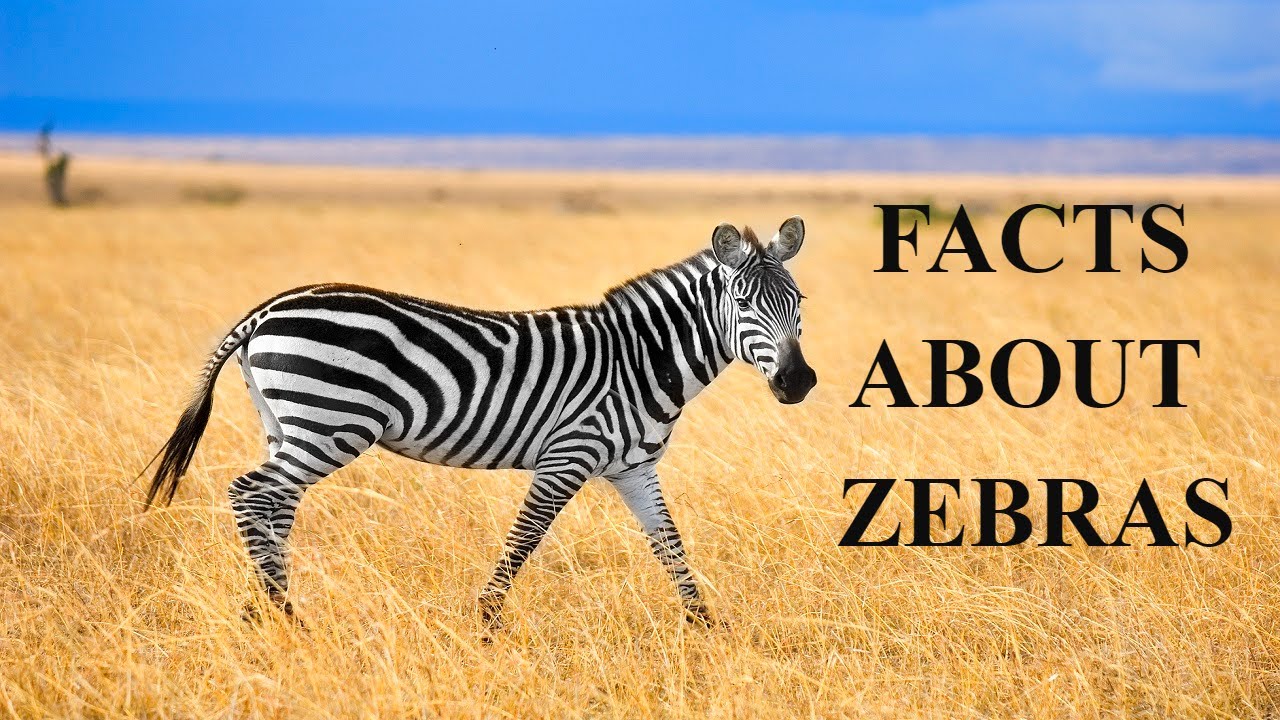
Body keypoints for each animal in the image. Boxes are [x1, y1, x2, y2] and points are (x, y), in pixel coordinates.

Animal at [143, 217, 816, 629]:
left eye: (798, 303)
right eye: (744, 304)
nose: (799, 383)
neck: (641, 358)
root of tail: (267, 309)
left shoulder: (634, 468)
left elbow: (670, 545)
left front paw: (705, 630)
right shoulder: (568, 454)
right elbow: (524, 541)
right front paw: (485, 626)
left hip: (287, 424)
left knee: (273, 504)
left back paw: (268, 612)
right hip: (330, 423)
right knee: (251, 492)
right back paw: (284, 614)